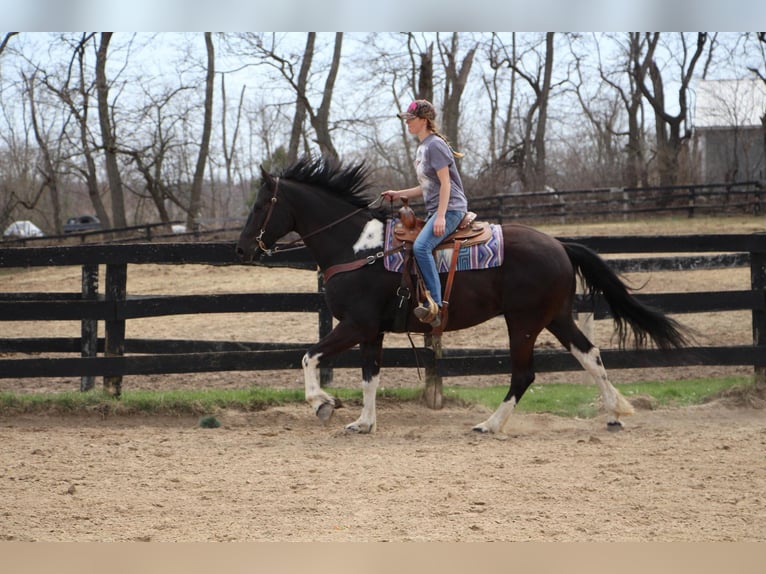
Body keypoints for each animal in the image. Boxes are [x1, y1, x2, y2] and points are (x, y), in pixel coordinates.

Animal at [236, 158, 688, 436]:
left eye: (259, 205)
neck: (357, 248)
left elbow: (309, 356)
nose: (241, 249)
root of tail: (559, 244)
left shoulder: (356, 324)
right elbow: (370, 377)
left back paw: (490, 424)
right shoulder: (372, 332)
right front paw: (363, 423)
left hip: (524, 322)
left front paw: (322, 404)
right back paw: (614, 414)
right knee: (590, 355)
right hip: (556, 316)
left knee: (524, 374)